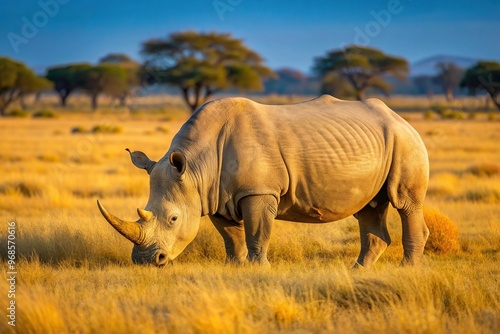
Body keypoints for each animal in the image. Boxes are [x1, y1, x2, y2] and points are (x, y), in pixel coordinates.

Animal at [97, 95, 430, 268]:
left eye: (173, 219)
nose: (145, 261)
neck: (195, 167)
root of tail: (400, 117)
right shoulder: (214, 195)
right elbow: (230, 236)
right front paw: (234, 267)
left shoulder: (258, 192)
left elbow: (258, 231)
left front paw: (259, 268)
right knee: (370, 207)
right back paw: (358, 271)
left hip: (405, 142)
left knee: (405, 202)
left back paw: (407, 269)